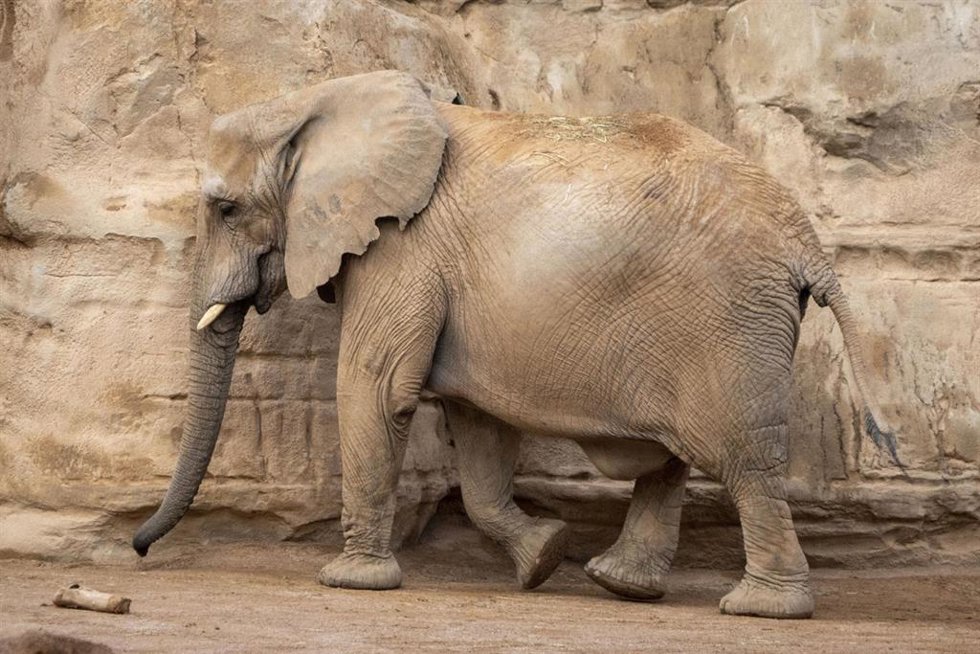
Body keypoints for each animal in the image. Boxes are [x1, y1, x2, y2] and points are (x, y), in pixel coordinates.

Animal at [132, 70, 899, 619]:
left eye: (226, 208)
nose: (140, 549)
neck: (317, 100)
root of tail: (806, 241)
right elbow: (478, 431)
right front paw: (543, 559)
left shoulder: (402, 246)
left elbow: (376, 388)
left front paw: (348, 582)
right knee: (673, 462)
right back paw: (622, 586)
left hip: (728, 323)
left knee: (743, 459)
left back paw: (761, 608)